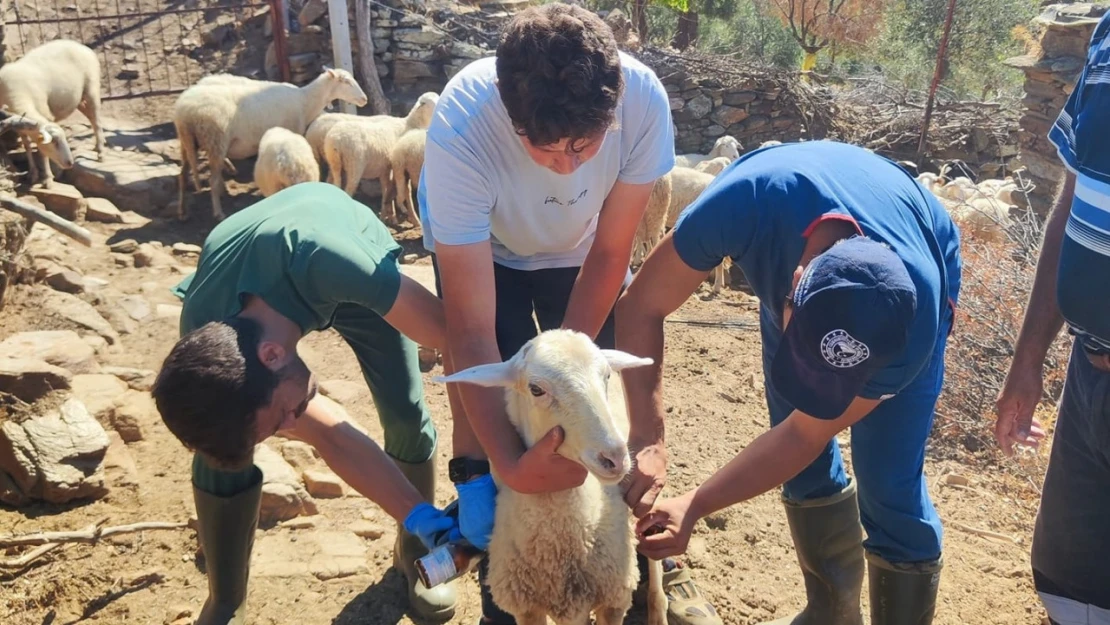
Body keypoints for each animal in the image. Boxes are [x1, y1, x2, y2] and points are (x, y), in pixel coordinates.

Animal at [0, 39, 104, 188]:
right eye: (54, 142)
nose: (70, 163)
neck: (17, 94)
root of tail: (80, 45)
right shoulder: (19, 124)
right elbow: (27, 146)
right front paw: (33, 174)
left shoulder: (44, 112)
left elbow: (41, 151)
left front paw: (47, 179)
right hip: (77, 99)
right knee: (91, 117)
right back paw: (97, 146)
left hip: (92, 88)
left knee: (96, 120)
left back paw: (101, 152)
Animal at [170, 66, 366, 220]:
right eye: (346, 81)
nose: (365, 99)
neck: (305, 101)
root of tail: (184, 110)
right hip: (215, 139)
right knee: (212, 179)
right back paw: (218, 212)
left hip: (187, 142)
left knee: (183, 174)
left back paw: (182, 211)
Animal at [432, 333, 661, 625]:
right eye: (536, 389)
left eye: (606, 375)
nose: (616, 458)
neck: (558, 551)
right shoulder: (527, 609)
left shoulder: (613, 602)